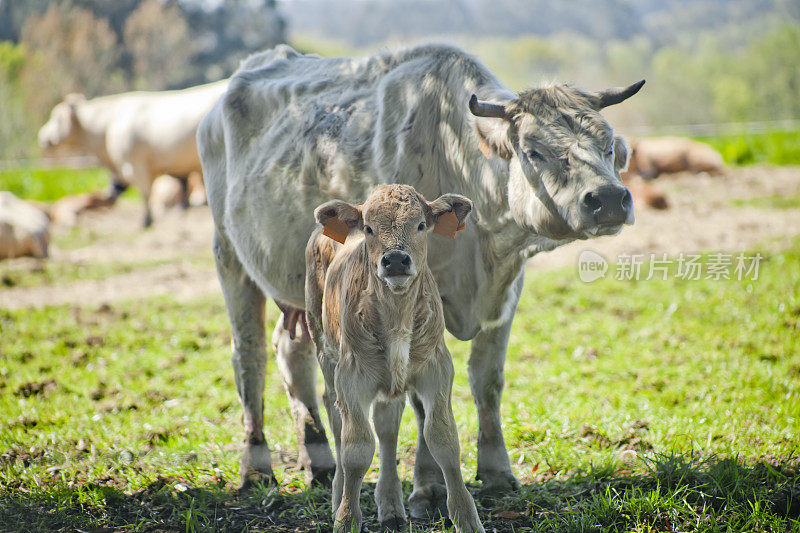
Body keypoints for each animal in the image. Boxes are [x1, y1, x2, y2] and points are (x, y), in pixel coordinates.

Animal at [200, 43, 644, 516]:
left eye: (609, 147)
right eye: (532, 150)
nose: (609, 199)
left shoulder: (507, 293)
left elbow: (487, 382)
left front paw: (496, 472)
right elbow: (418, 403)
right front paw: (427, 487)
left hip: (300, 295)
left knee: (294, 352)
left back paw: (318, 460)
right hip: (229, 254)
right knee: (249, 357)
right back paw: (256, 468)